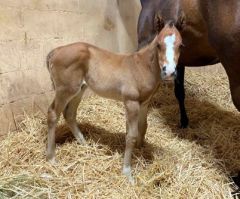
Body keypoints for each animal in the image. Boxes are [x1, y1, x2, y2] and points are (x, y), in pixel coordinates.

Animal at [46, 22, 183, 183]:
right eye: (158, 45)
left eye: (181, 45)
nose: (169, 72)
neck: (141, 67)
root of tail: (55, 51)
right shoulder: (131, 102)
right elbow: (131, 135)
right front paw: (127, 173)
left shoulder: (144, 103)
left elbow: (143, 127)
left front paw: (140, 150)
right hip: (65, 90)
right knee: (53, 114)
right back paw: (51, 158)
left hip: (79, 89)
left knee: (69, 113)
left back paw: (84, 143)